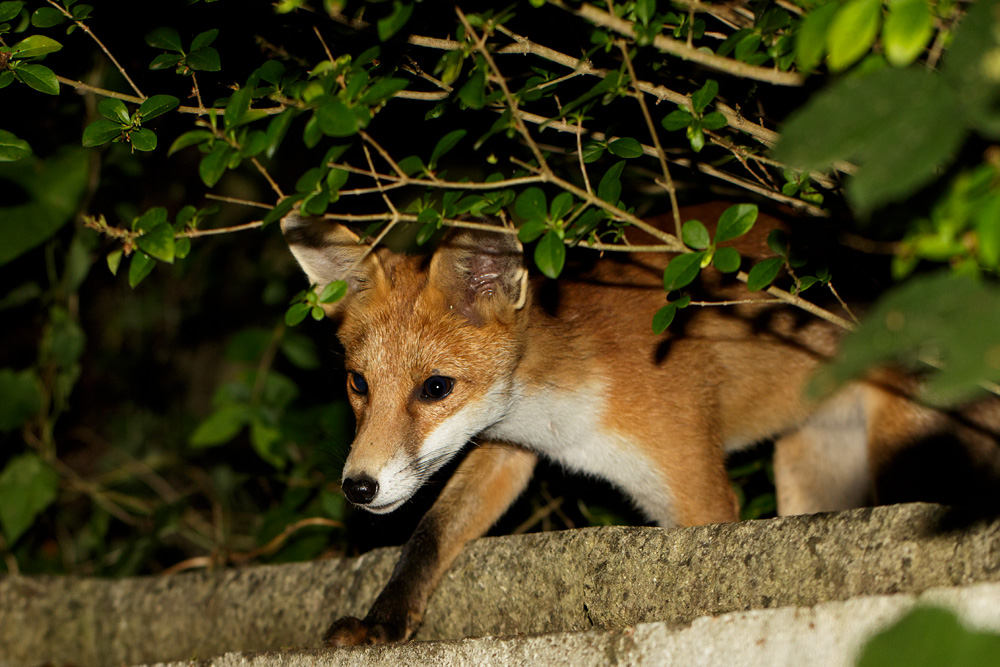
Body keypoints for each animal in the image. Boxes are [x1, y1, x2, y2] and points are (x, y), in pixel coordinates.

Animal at [280, 202, 1000, 647]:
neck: (571, 414)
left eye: (435, 388)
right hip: (805, 471)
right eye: (358, 384)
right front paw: (384, 620)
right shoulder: (508, 448)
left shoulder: (695, 488)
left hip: (902, 454)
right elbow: (430, 533)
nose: (358, 487)